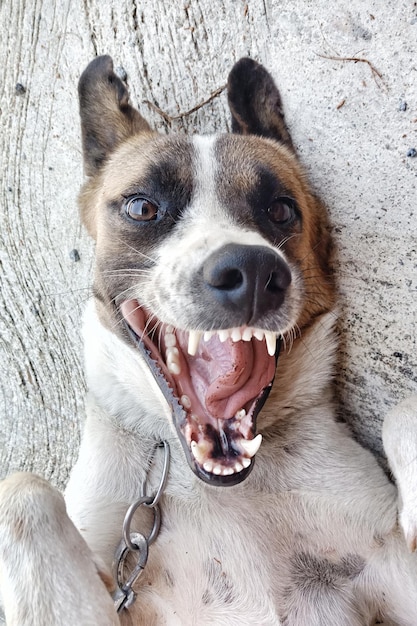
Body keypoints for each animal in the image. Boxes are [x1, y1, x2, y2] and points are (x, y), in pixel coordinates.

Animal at [0, 54, 416, 624]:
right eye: (142, 208)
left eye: (281, 209)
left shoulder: (393, 570)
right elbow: (21, 488)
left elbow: (404, 409)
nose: (253, 272)